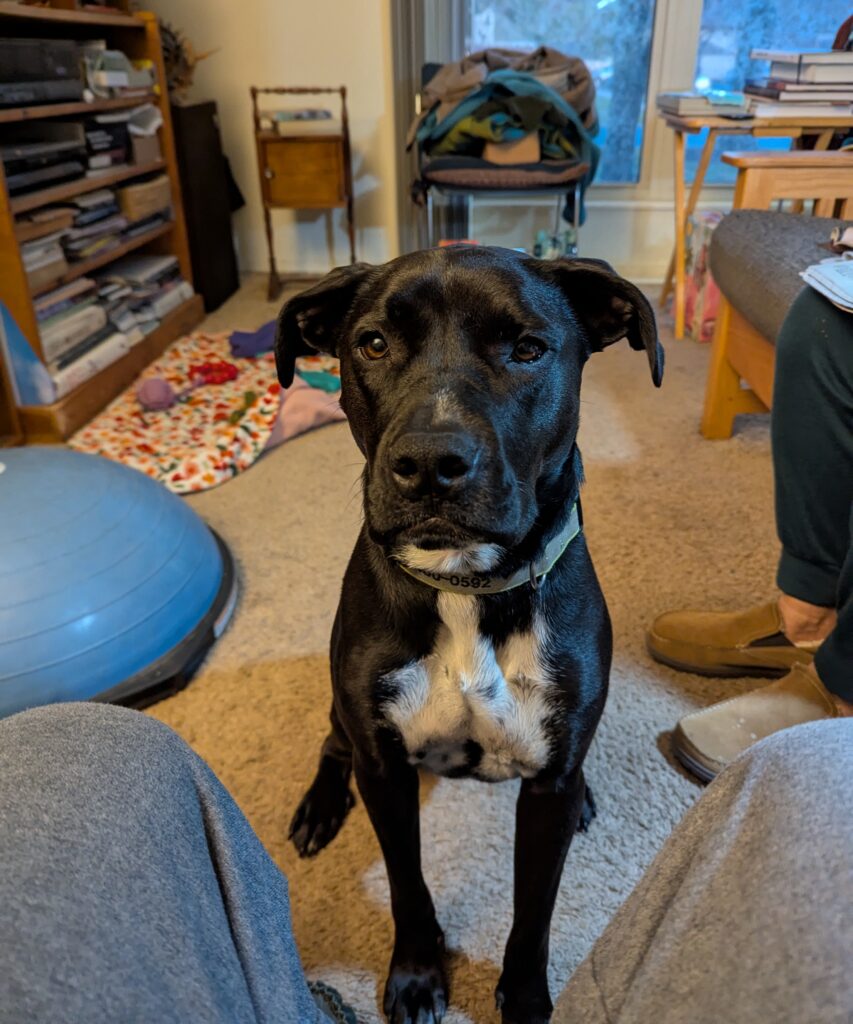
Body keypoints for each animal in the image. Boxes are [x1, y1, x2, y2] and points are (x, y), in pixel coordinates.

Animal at [276, 245, 663, 1024]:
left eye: (528, 349)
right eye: (372, 343)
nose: (430, 464)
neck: (466, 588)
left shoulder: (547, 790)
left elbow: (534, 910)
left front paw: (525, 999)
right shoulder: (385, 770)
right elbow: (408, 885)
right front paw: (417, 975)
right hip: (344, 715)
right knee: (333, 744)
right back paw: (320, 806)